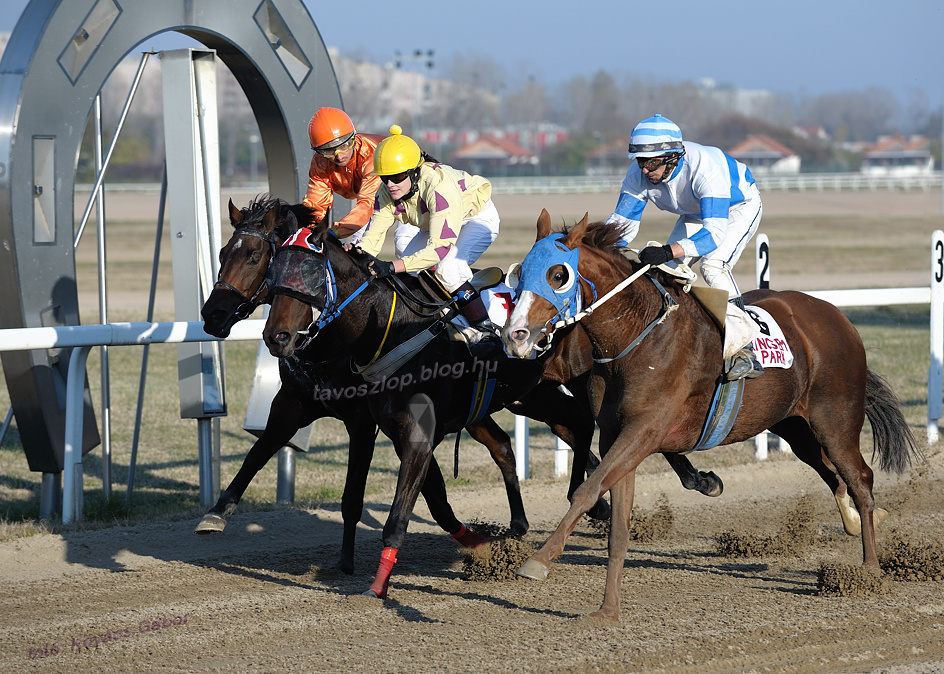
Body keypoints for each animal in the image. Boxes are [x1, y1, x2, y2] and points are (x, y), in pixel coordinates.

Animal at [502, 211, 920, 620]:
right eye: (519, 273)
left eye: (558, 274)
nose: (514, 336)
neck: (636, 335)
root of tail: (837, 316)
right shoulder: (617, 436)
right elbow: (617, 522)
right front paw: (608, 610)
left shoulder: (645, 430)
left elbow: (587, 491)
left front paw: (538, 561)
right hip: (794, 426)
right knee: (832, 474)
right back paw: (854, 523)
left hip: (835, 420)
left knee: (860, 478)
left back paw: (869, 570)